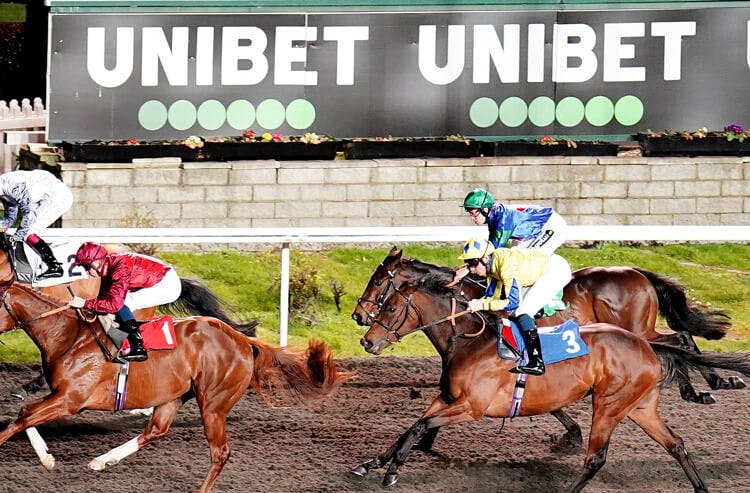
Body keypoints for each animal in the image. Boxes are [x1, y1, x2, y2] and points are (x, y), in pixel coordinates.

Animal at [0, 252, 354, 490]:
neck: (67, 335)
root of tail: (243, 340)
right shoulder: (61, 396)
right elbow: (24, 414)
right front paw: (48, 459)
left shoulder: (72, 399)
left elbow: (22, 418)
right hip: (175, 394)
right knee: (156, 430)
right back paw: (103, 460)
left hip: (213, 404)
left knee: (220, 452)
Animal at [352, 264, 750, 490]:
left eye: (387, 300)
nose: (365, 337)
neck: (469, 339)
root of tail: (646, 350)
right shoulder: (448, 398)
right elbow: (411, 426)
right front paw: (369, 464)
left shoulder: (472, 407)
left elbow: (419, 426)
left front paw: (392, 471)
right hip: (639, 407)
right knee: (676, 443)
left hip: (609, 403)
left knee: (596, 458)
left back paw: (710, 385)